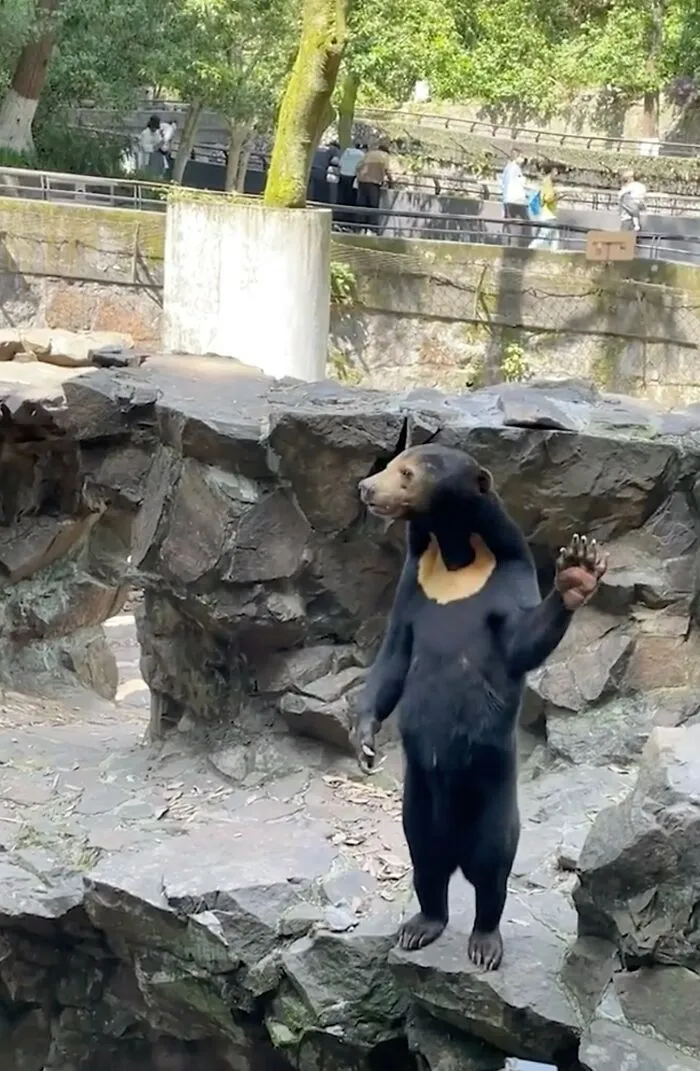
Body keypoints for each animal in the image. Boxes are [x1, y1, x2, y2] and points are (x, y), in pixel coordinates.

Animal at [352, 443, 607, 970]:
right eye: (391, 465)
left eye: (406, 473)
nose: (365, 488)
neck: (454, 555)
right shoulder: (414, 587)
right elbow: (395, 655)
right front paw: (364, 742)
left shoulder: (505, 576)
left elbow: (521, 641)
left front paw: (578, 569)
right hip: (419, 803)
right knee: (426, 861)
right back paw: (421, 926)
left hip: (492, 795)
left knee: (492, 868)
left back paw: (485, 942)